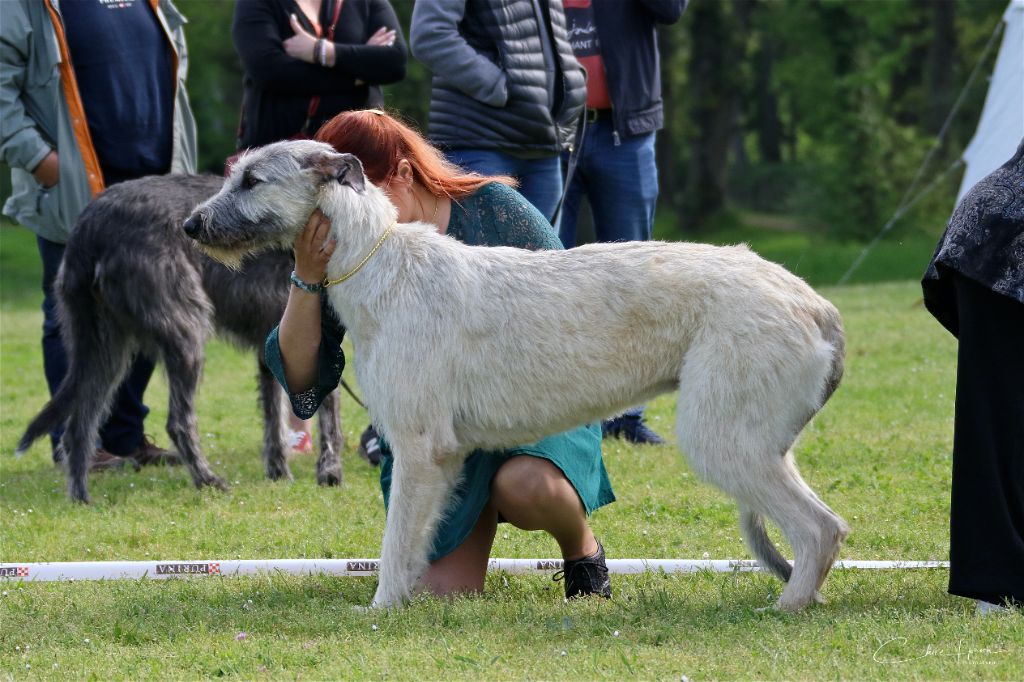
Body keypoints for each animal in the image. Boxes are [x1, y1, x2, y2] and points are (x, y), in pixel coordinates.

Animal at [17, 171, 344, 499]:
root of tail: (89, 226)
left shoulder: (272, 344)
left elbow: (274, 414)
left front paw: (278, 471)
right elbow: (329, 411)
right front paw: (329, 471)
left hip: (102, 347)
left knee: (78, 426)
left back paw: (81, 498)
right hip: (185, 331)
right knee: (178, 422)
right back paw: (207, 479)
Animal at [188, 139, 851, 610]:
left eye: (252, 180)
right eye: (233, 173)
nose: (191, 226)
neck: (380, 262)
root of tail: (815, 304)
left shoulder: (421, 449)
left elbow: (395, 542)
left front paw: (379, 608)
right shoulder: (440, 459)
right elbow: (415, 541)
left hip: (723, 436)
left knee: (822, 528)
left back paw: (788, 605)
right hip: (758, 438)